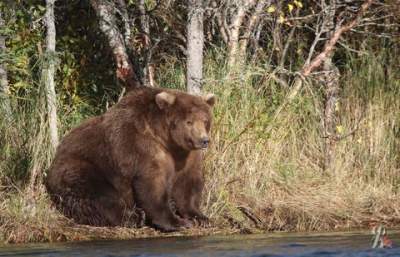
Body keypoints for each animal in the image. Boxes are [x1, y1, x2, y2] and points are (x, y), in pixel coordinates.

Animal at [44, 85, 216, 230]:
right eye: (189, 121)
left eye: (205, 120)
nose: (204, 140)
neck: (167, 140)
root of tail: (54, 158)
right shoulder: (141, 147)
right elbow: (152, 185)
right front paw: (177, 222)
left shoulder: (186, 156)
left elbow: (187, 184)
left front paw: (200, 217)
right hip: (83, 167)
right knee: (99, 195)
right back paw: (134, 217)